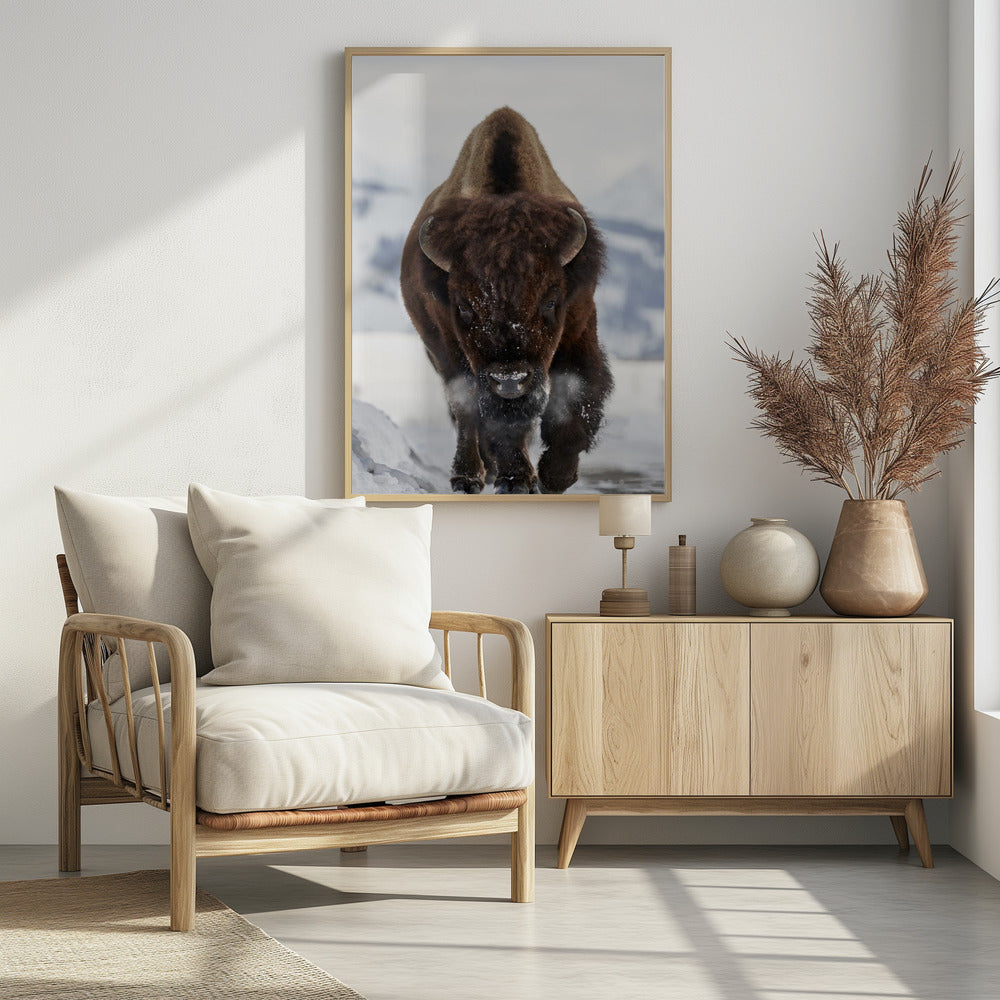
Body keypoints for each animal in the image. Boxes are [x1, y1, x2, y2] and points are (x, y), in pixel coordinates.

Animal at [400, 106, 613, 494]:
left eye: (551, 301)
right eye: (464, 306)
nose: (510, 378)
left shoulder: (578, 324)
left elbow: (576, 393)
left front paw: (555, 476)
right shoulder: (452, 347)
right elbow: (485, 414)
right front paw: (515, 480)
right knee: (466, 413)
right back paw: (470, 476)